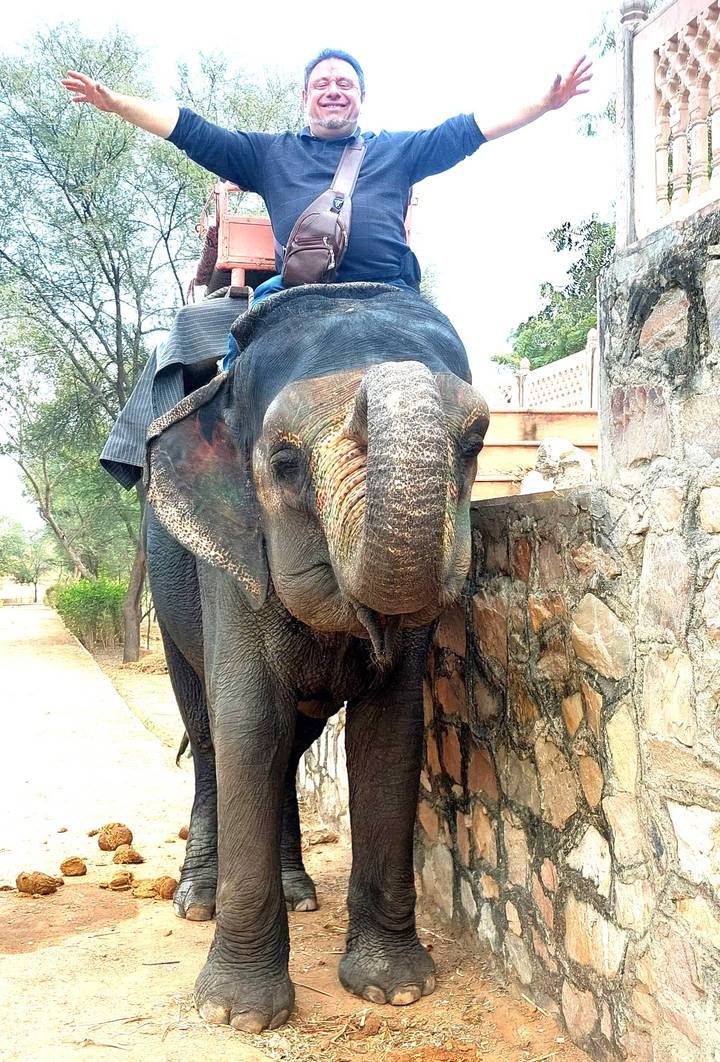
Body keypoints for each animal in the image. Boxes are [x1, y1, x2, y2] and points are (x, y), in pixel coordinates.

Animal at [145, 283, 489, 1033]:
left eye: (475, 443)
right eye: (285, 463)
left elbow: (387, 732)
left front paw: (395, 990)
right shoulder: (232, 566)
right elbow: (248, 724)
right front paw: (236, 1016)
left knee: (290, 746)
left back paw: (299, 893)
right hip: (168, 603)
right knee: (213, 737)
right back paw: (197, 901)